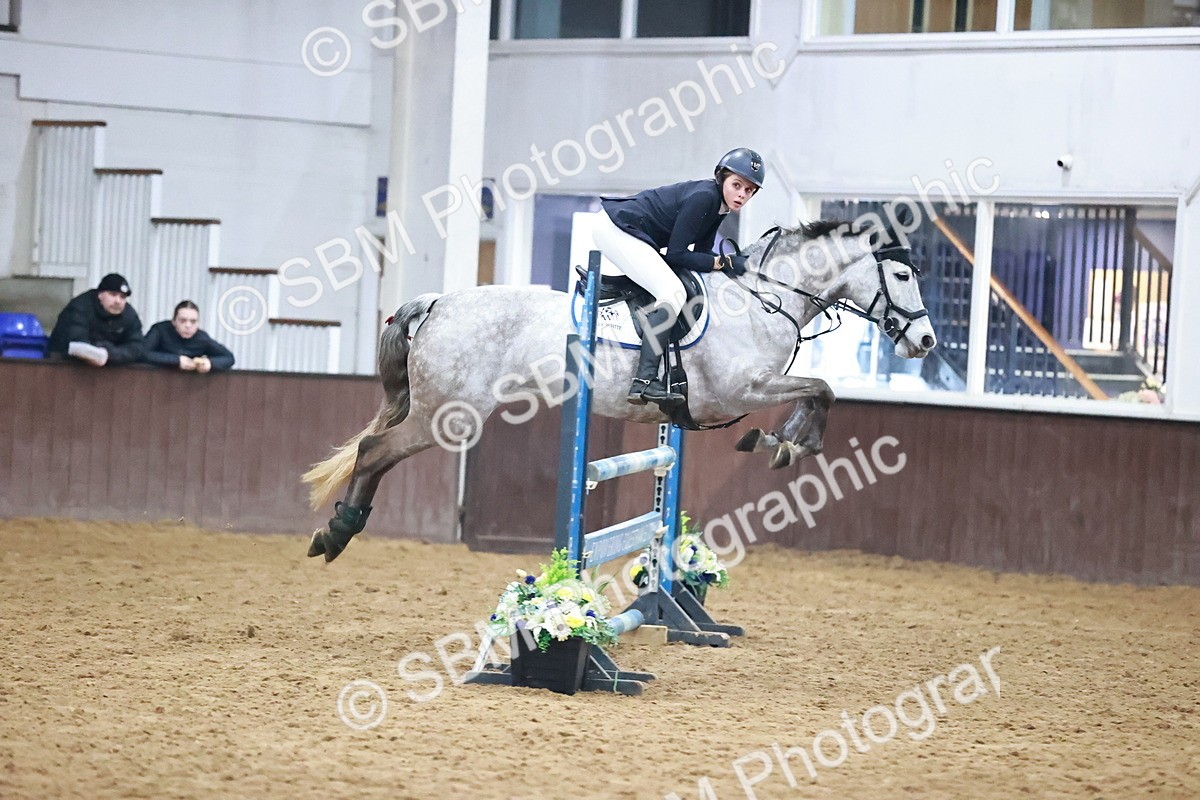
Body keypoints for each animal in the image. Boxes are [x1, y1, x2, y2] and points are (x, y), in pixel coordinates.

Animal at [303, 221, 937, 562]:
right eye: (903, 275)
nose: (926, 341)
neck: (763, 297)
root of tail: (436, 302)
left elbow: (817, 390)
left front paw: (780, 442)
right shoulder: (740, 391)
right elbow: (822, 388)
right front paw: (785, 443)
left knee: (376, 451)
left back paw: (336, 532)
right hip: (449, 414)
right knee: (374, 451)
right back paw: (336, 534)